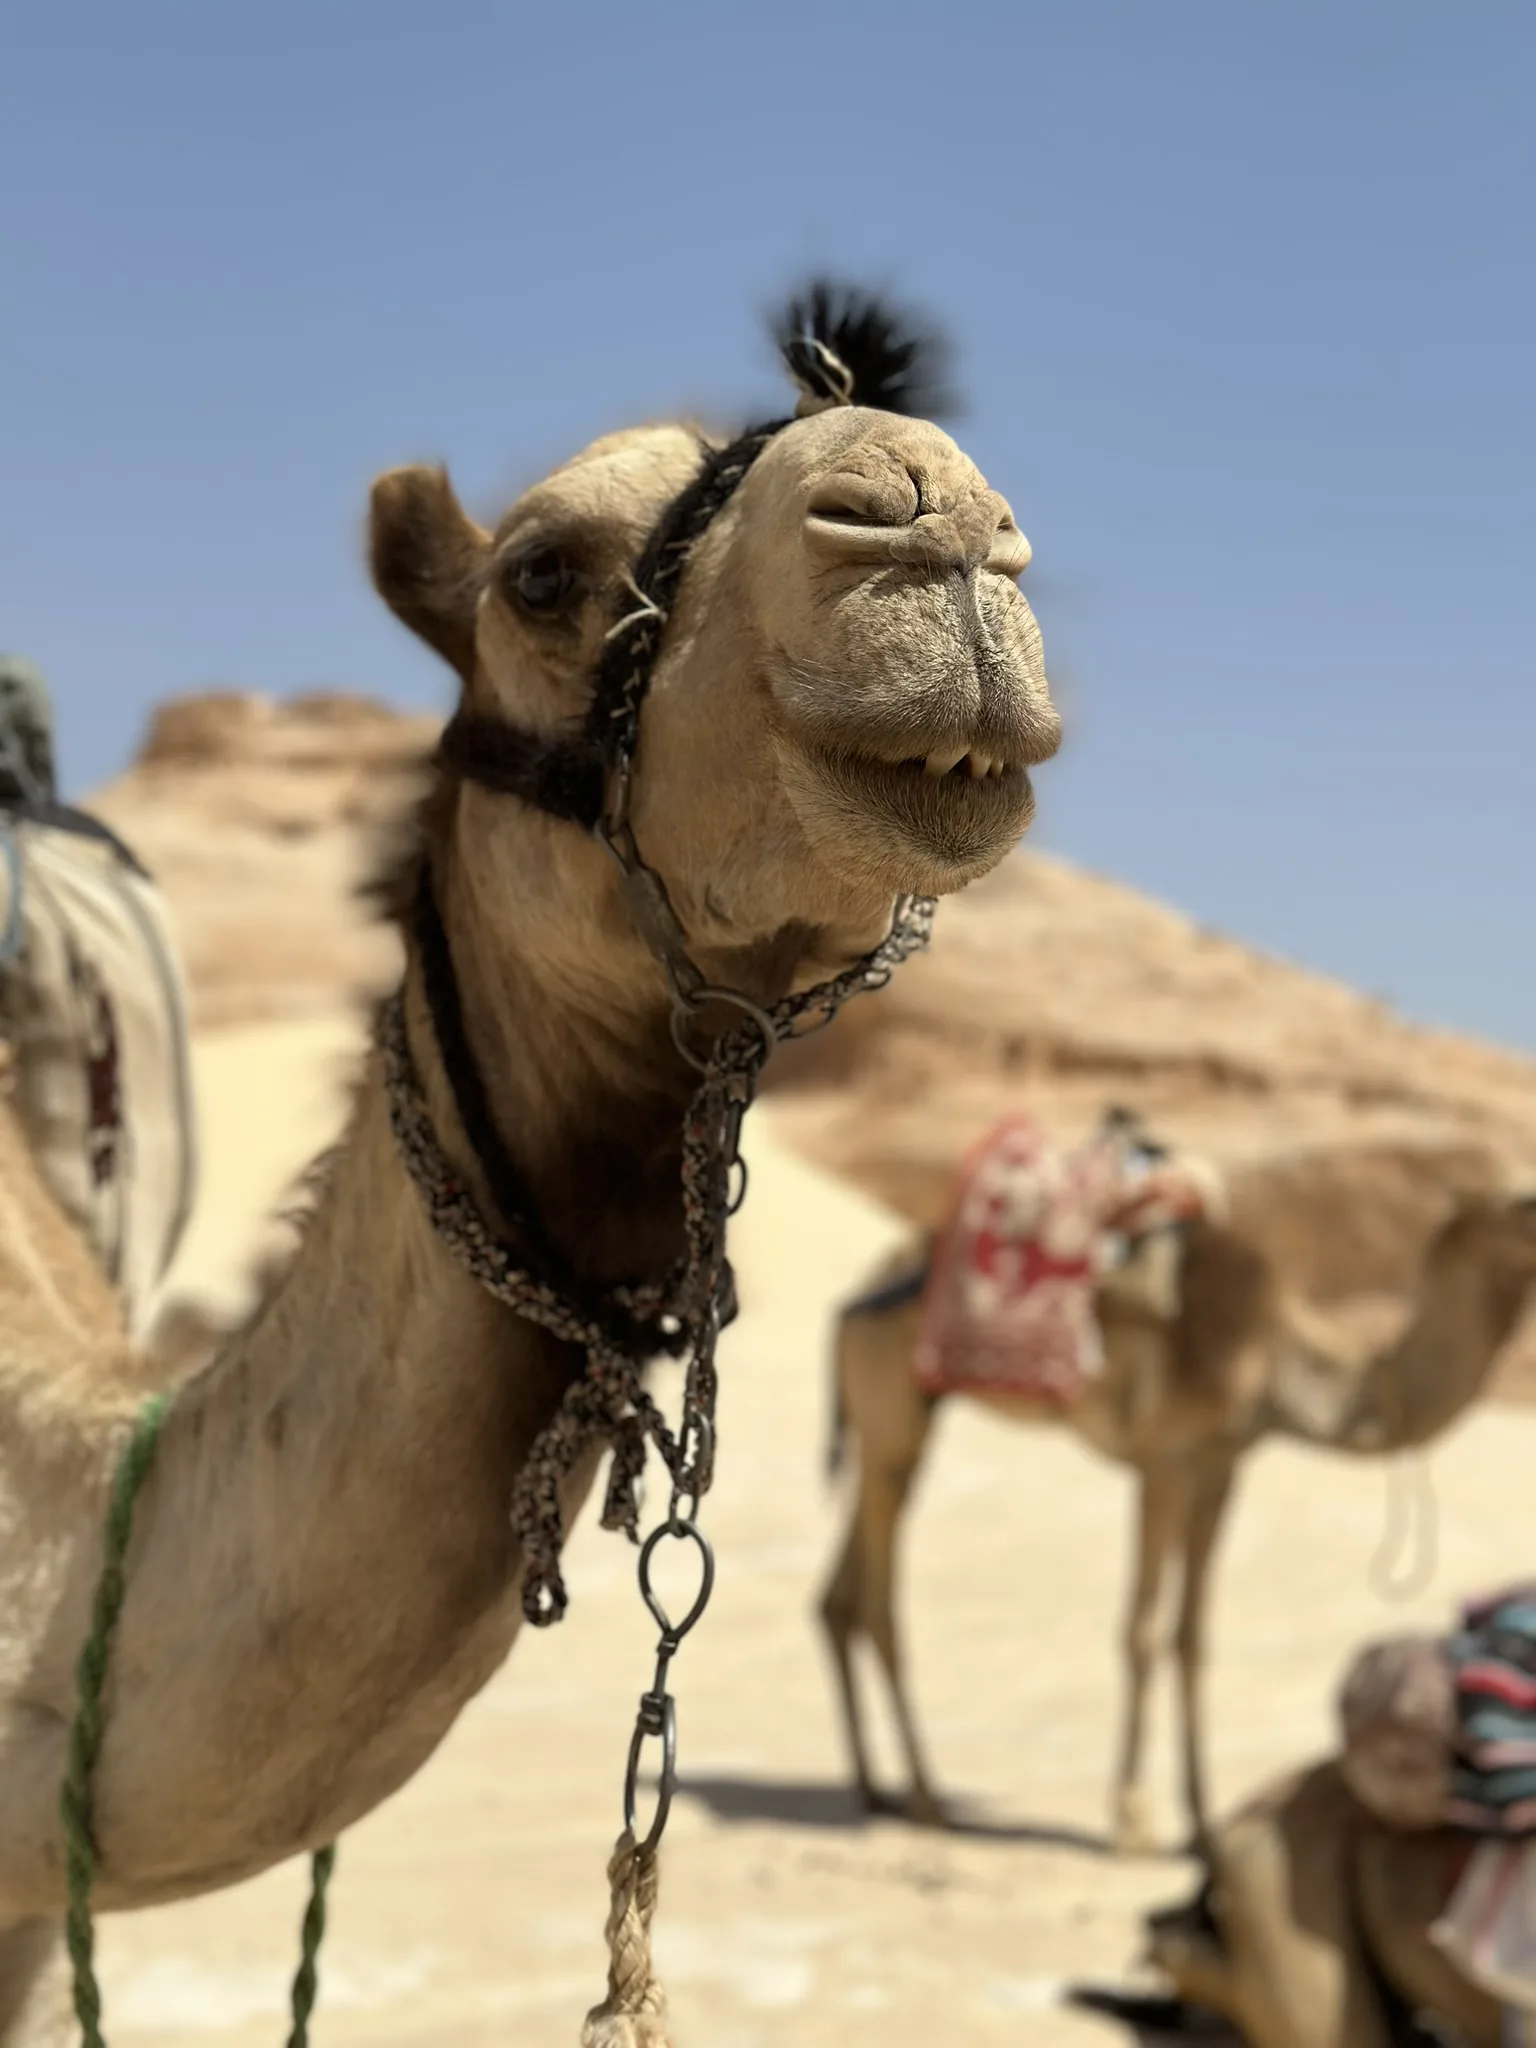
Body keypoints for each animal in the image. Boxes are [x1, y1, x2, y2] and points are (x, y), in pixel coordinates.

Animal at [818, 1185, 1536, 1855]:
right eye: (1522, 1201)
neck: (1275, 1357)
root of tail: (854, 1295)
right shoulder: (1163, 1461)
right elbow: (1142, 1632)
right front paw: (1133, 1821)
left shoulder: (1223, 1465)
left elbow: (1191, 1637)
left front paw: (1203, 1825)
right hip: (891, 1398)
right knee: (879, 1602)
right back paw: (924, 1797)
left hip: (899, 1419)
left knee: (839, 1594)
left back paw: (871, 1789)